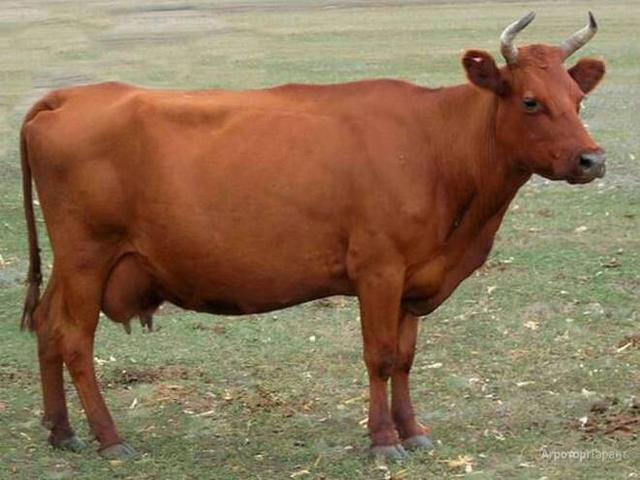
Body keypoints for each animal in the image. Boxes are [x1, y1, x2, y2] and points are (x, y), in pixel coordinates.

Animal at [20, 12, 606, 460]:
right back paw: (109, 438)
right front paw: (383, 441)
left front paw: (413, 431)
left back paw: (62, 431)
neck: (437, 149)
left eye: (577, 98)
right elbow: (381, 356)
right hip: (87, 256)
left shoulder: (415, 278)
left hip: (73, 264)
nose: (592, 160)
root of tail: (69, 96)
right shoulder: (378, 270)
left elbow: (406, 358)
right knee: (75, 340)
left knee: (47, 326)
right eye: (530, 101)